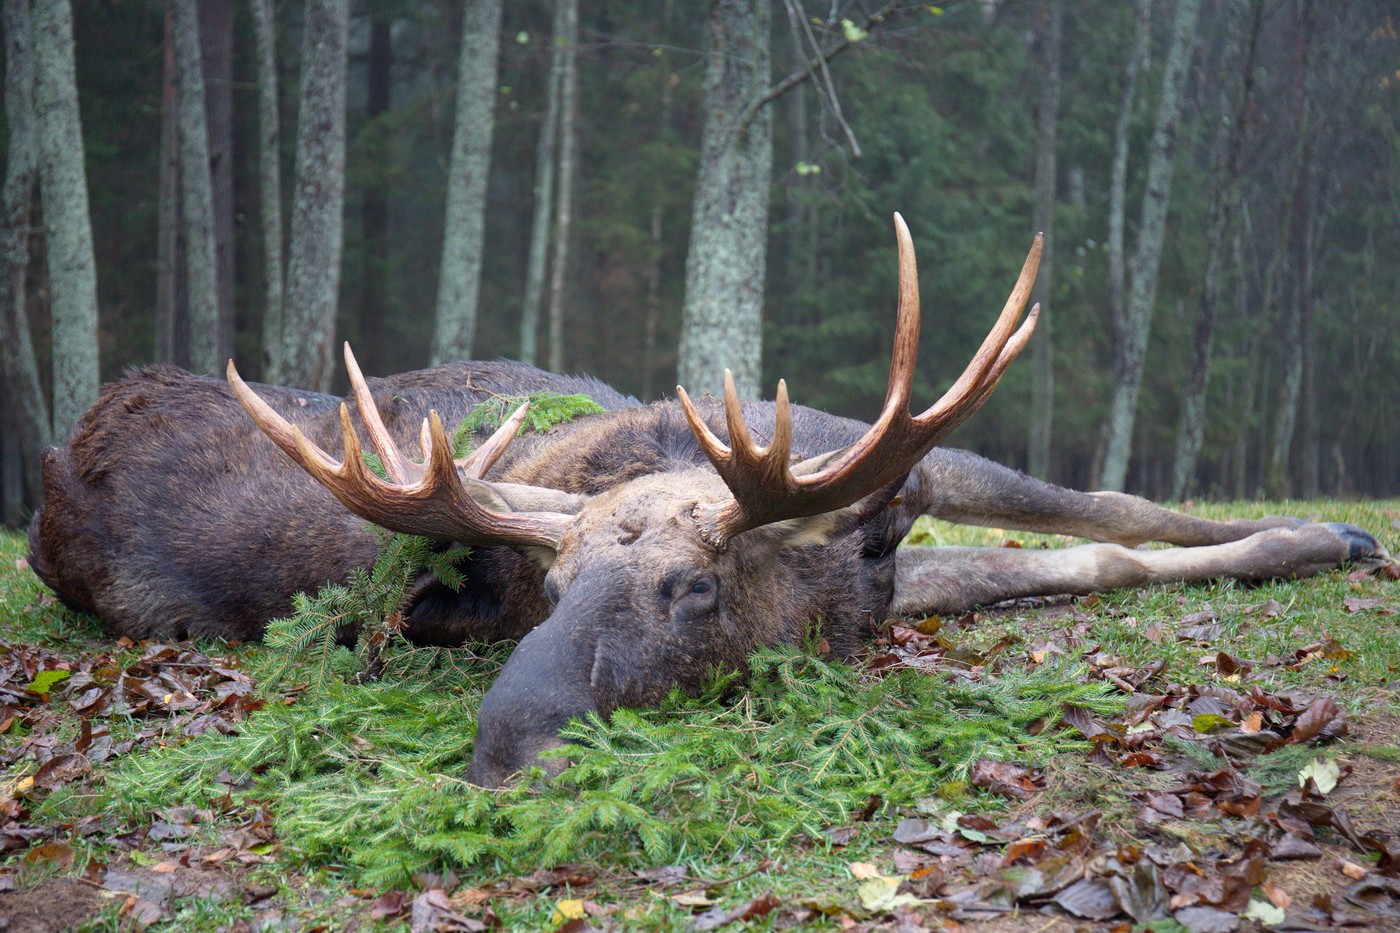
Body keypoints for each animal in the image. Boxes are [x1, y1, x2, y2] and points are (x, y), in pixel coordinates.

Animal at [30, 214, 1388, 778]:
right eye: (547, 593)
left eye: (691, 588)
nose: (503, 744)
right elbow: (1072, 558)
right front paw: (1319, 535)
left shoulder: (887, 461)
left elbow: (1108, 515)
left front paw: (1328, 531)